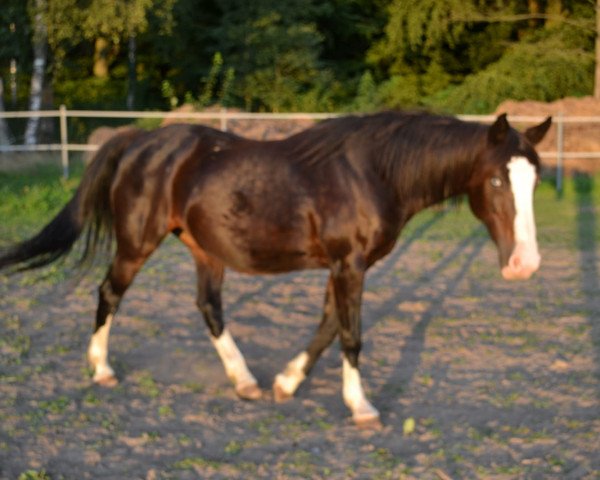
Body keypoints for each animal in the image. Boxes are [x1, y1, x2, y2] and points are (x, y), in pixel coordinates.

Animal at [0, 111, 552, 428]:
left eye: (535, 180)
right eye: (497, 181)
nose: (525, 265)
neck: (375, 172)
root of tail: (139, 142)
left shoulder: (344, 266)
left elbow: (328, 328)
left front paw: (286, 384)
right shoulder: (349, 264)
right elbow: (351, 335)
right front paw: (362, 408)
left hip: (205, 249)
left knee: (208, 306)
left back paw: (246, 381)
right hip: (137, 243)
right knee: (109, 294)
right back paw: (102, 370)